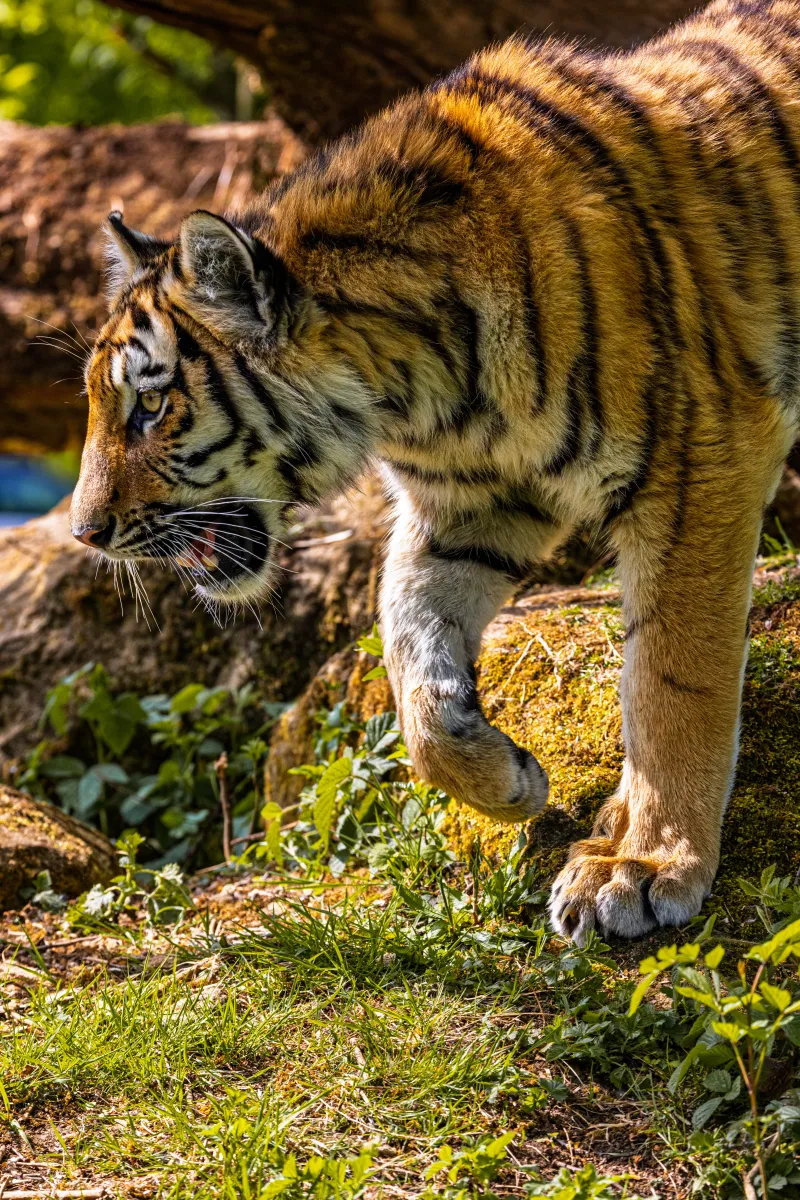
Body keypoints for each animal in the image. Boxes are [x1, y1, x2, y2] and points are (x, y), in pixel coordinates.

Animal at [70, 0, 800, 945]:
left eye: (152, 407)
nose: (85, 532)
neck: (418, 394)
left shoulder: (697, 460)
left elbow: (672, 681)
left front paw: (647, 865)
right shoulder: (467, 507)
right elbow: (410, 660)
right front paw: (508, 779)